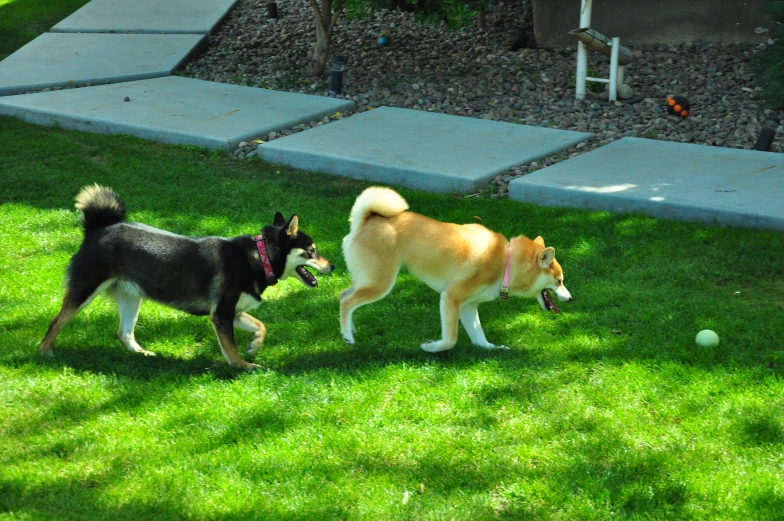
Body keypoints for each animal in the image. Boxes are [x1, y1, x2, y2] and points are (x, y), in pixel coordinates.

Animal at [41, 185, 332, 368]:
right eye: (312, 251)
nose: (331, 267)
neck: (259, 256)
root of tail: (96, 228)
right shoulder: (222, 315)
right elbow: (231, 348)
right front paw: (243, 365)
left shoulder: (232, 313)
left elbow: (261, 325)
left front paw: (254, 345)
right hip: (85, 289)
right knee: (56, 321)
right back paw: (45, 352)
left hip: (131, 297)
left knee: (124, 333)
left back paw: (144, 355)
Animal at [340, 185, 572, 352]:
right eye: (559, 281)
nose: (570, 299)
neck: (506, 263)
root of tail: (366, 219)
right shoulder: (451, 297)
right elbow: (450, 339)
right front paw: (431, 347)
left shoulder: (468, 306)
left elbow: (479, 336)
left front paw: (493, 348)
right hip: (381, 283)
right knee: (346, 301)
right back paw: (347, 336)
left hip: (368, 279)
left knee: (343, 295)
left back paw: (349, 329)